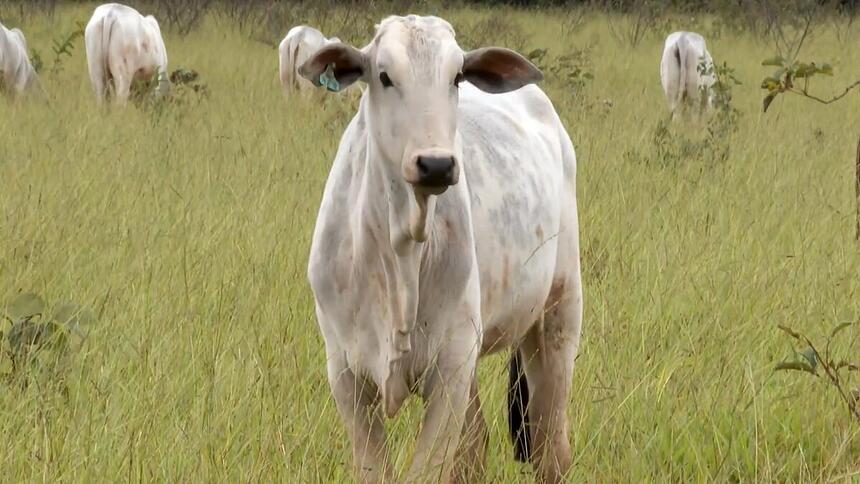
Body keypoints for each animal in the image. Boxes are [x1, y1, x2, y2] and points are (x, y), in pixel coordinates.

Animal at [298, 15, 580, 484]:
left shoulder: (449, 370)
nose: (436, 164)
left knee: (549, 447)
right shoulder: (346, 374)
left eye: (457, 76)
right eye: (384, 75)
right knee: (476, 446)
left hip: (557, 316)